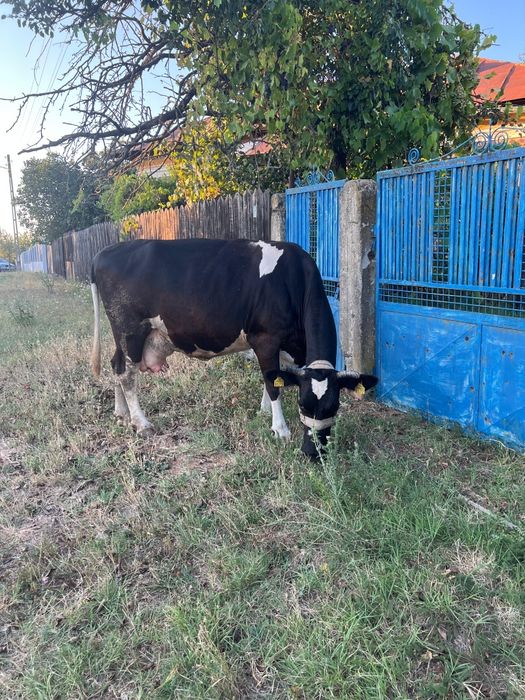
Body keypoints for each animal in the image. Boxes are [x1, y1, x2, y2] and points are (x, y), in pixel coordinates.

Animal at [90, 238, 377, 459]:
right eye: (302, 405)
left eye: (333, 407)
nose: (312, 453)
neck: (293, 280)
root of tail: (105, 252)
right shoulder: (265, 338)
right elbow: (272, 383)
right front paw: (280, 429)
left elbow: (272, 377)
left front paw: (264, 412)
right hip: (129, 330)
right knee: (126, 373)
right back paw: (141, 423)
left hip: (124, 336)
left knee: (116, 365)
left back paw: (121, 413)